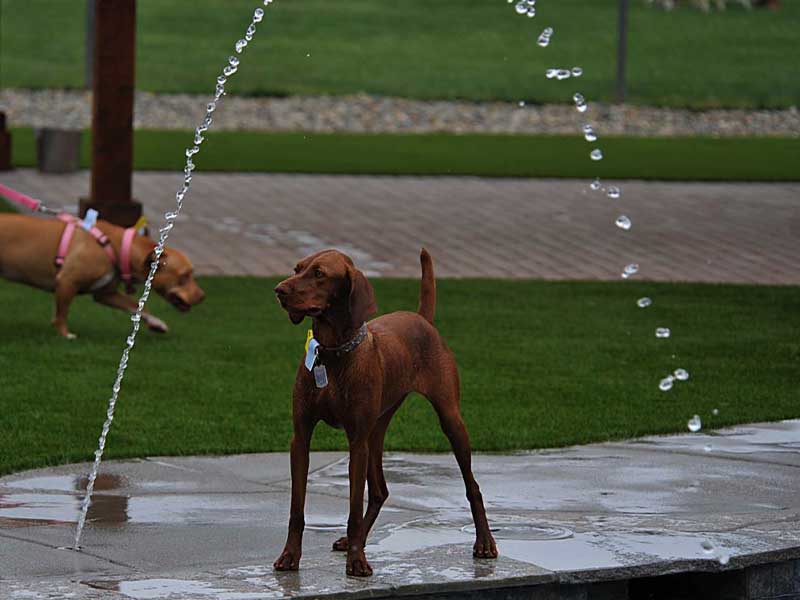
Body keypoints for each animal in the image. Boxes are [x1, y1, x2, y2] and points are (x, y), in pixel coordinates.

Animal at [0, 214, 205, 338]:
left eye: (192, 273)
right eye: (184, 276)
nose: (202, 296)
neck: (118, 246)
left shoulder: (106, 294)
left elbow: (137, 307)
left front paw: (156, 323)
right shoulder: (67, 282)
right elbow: (62, 313)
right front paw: (65, 334)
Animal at [272, 247, 496, 576]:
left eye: (319, 273)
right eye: (296, 268)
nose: (279, 290)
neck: (333, 354)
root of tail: (421, 318)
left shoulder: (356, 442)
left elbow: (353, 507)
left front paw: (356, 561)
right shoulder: (301, 438)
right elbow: (296, 509)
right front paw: (290, 556)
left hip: (449, 420)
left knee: (473, 485)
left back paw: (485, 543)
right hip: (376, 431)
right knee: (380, 491)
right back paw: (355, 541)